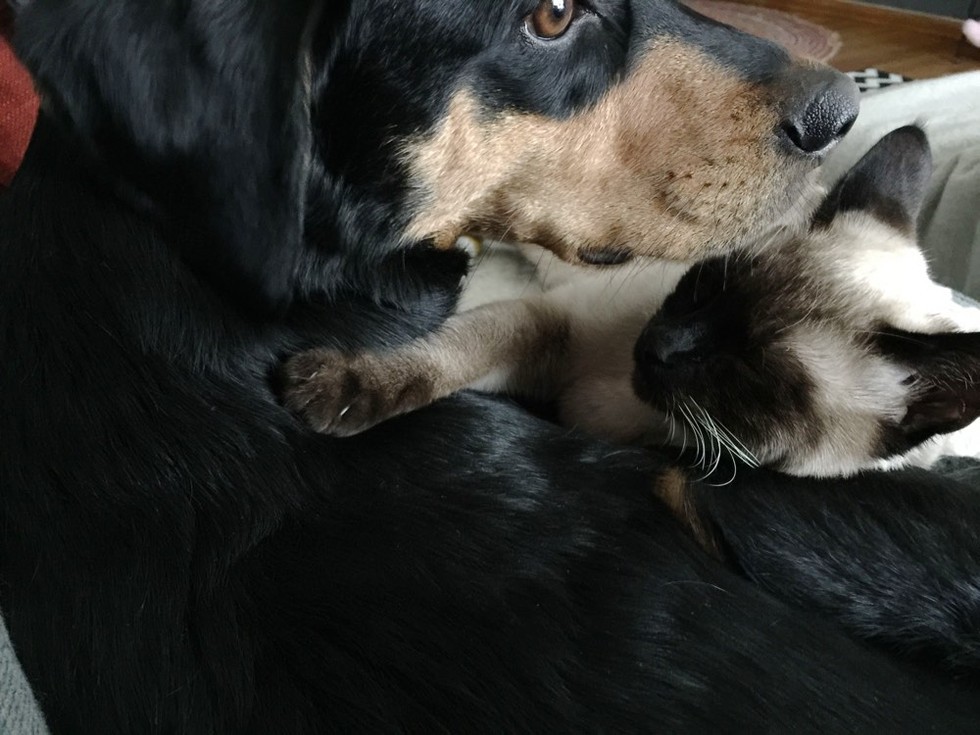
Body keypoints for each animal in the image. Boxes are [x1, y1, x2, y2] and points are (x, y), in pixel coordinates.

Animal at [282, 127, 980, 480]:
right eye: (703, 286)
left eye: (749, 370)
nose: (657, 347)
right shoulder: (547, 323)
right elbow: (436, 360)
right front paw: (342, 390)